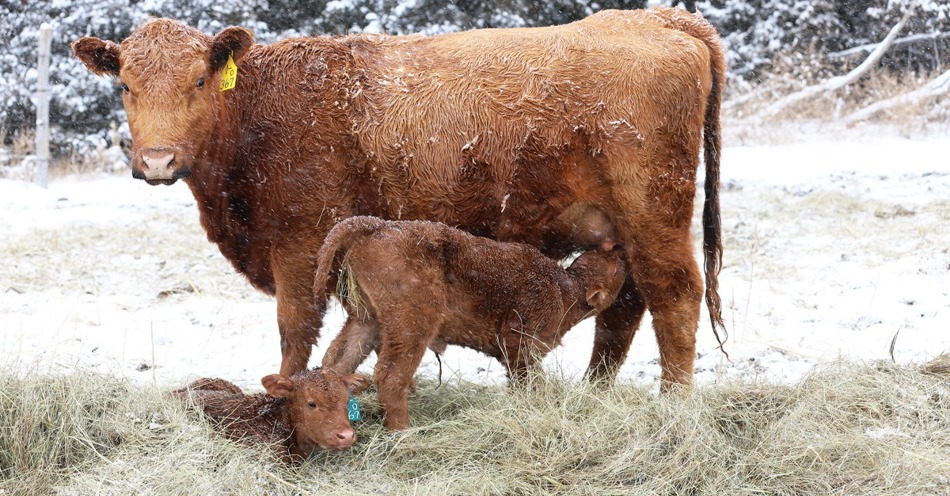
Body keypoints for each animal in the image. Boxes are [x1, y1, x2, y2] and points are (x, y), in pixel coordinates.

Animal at [74, 6, 728, 388]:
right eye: (126, 86)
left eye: (199, 80)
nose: (158, 161)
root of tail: (658, 18)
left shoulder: (299, 246)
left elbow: (295, 331)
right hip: (620, 227)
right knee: (626, 305)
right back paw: (596, 395)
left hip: (655, 212)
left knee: (673, 296)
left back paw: (674, 405)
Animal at [316, 217, 628, 430]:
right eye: (614, 269)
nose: (619, 250)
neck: (565, 289)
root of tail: (376, 225)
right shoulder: (518, 340)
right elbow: (527, 379)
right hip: (412, 323)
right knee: (390, 375)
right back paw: (404, 432)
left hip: (366, 320)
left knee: (337, 358)